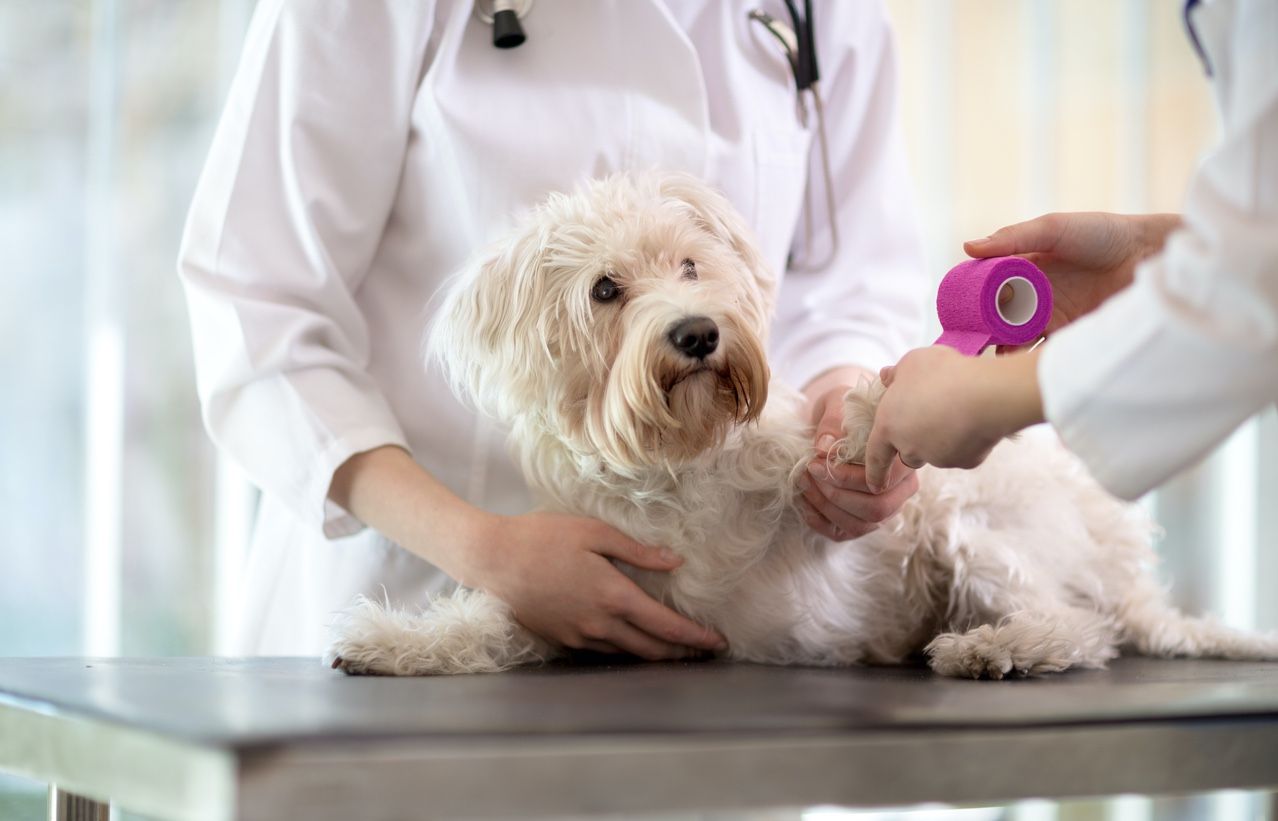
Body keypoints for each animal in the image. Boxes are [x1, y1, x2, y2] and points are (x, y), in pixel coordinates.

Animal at [324, 168, 1272, 675]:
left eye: (689, 264)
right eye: (605, 288)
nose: (697, 333)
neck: (676, 463)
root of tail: (1123, 564)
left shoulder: (838, 504)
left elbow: (828, 466)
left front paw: (865, 414)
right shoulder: (590, 595)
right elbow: (491, 622)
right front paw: (393, 640)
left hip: (975, 528)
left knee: (1081, 626)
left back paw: (993, 647)